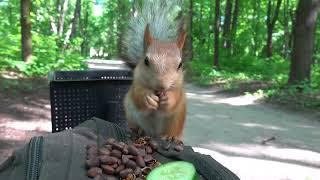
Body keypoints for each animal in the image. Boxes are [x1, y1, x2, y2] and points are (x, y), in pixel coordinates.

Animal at [122, 0, 188, 141]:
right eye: (146, 61)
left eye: (180, 65)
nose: (161, 86)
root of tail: (154, 134)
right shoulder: (136, 83)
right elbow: (138, 95)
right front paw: (148, 98)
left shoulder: (179, 87)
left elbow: (176, 96)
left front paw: (168, 99)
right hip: (130, 112)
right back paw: (139, 130)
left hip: (177, 119)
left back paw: (171, 136)